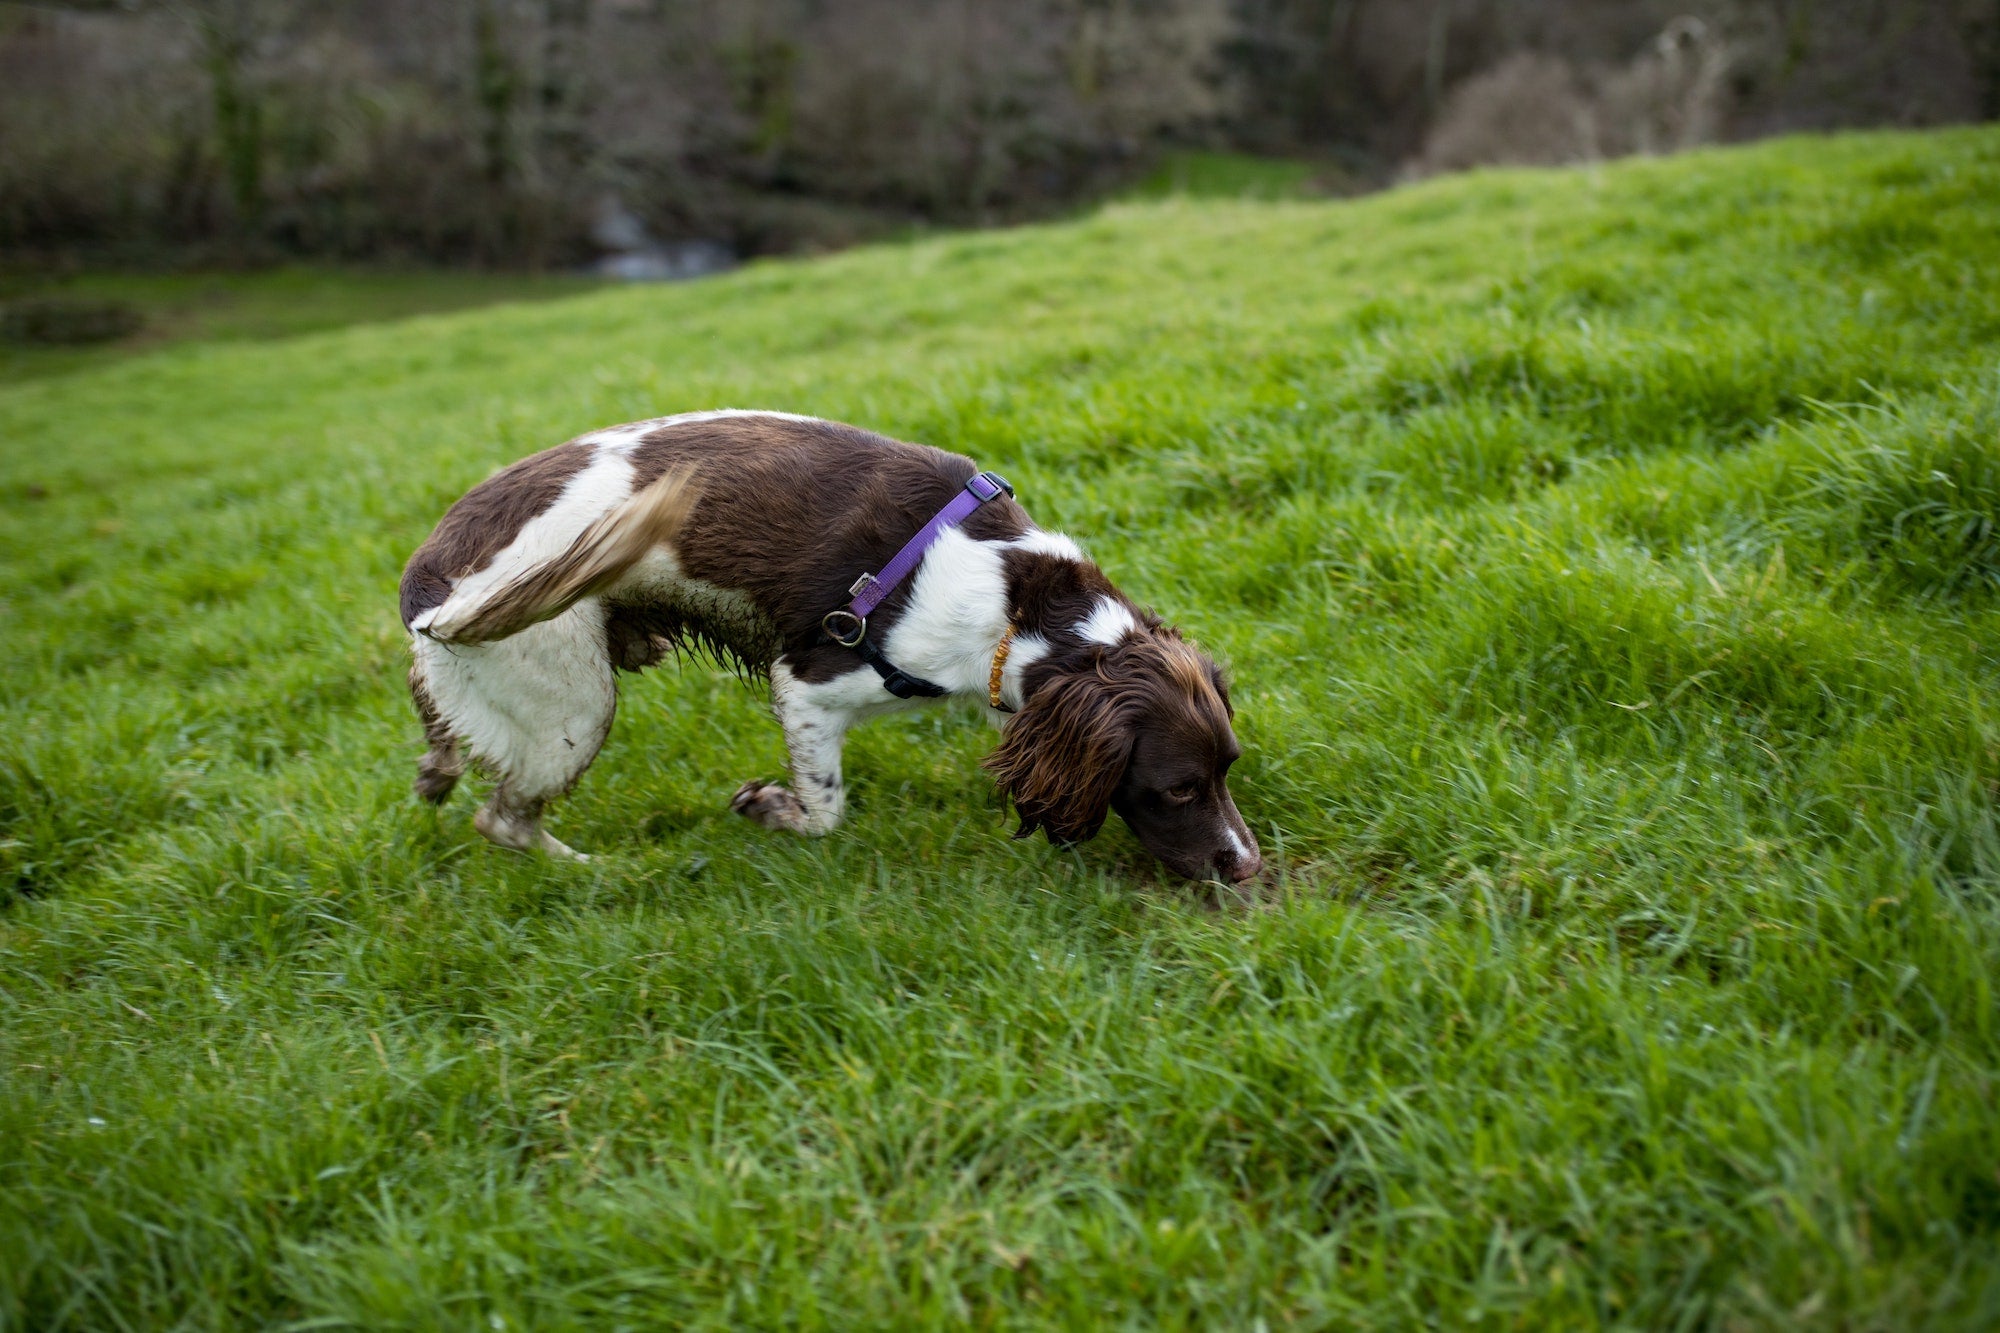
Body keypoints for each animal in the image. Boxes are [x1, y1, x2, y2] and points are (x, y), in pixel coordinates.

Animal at [398, 408, 1256, 880]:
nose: (1245, 867)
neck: (1021, 601)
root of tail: (428, 596)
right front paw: (767, 808)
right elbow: (825, 808)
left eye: (1227, 769)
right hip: (571, 706)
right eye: (1179, 788)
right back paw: (605, 873)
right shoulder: (809, 681)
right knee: (504, 818)